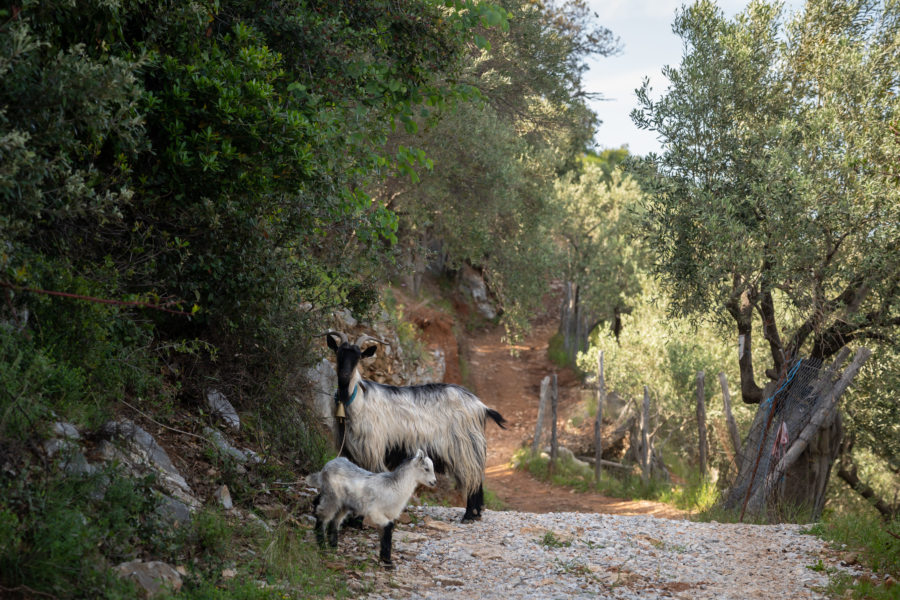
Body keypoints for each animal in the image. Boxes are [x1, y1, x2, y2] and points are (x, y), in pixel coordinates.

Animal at [324, 330, 506, 524]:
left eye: (358, 357)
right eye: (339, 353)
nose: (344, 375)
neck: (357, 401)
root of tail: (481, 406)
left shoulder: (371, 450)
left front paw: (360, 520)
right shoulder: (352, 450)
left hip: (465, 448)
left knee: (473, 479)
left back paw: (469, 515)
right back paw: (476, 513)